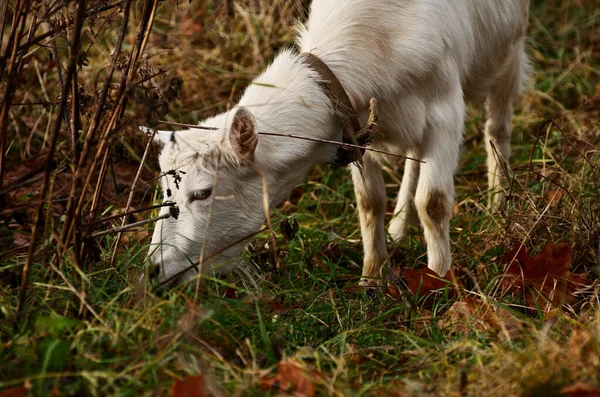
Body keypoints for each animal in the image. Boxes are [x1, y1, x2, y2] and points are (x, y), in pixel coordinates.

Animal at [146, 0, 528, 284]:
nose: (153, 269)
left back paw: (499, 203)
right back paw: (398, 226)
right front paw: (372, 277)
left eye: (203, 192)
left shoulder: (444, 112)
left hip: (508, 55)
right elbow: (369, 201)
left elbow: (432, 203)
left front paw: (440, 281)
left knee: (498, 127)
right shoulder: (357, 128)